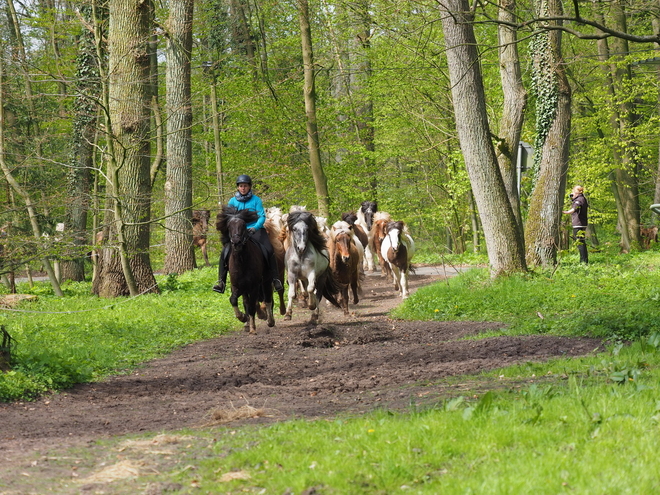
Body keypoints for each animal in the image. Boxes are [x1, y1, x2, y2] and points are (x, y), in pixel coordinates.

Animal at [217, 205, 276, 334]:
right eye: (229, 226)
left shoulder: (254, 286)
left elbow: (252, 306)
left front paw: (253, 328)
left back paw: (270, 321)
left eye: (243, 225)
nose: (236, 243)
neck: (242, 261)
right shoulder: (237, 286)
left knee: (268, 299)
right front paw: (243, 317)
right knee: (247, 302)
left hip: (266, 281)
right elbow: (234, 300)